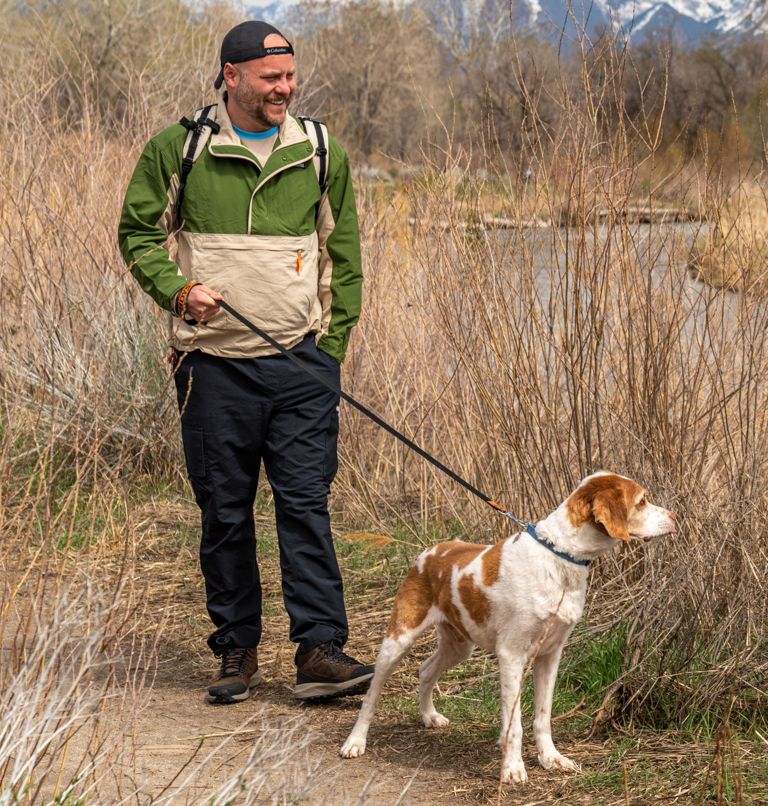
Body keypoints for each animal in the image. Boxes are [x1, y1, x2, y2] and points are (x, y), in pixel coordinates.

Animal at [342, 474, 680, 784]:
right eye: (642, 501)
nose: (676, 516)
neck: (559, 557)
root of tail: (429, 552)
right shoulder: (512, 655)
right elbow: (514, 722)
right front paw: (513, 768)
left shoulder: (550, 655)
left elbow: (543, 716)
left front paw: (551, 759)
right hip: (399, 638)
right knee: (372, 695)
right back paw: (355, 742)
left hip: (459, 645)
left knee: (425, 670)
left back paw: (429, 715)